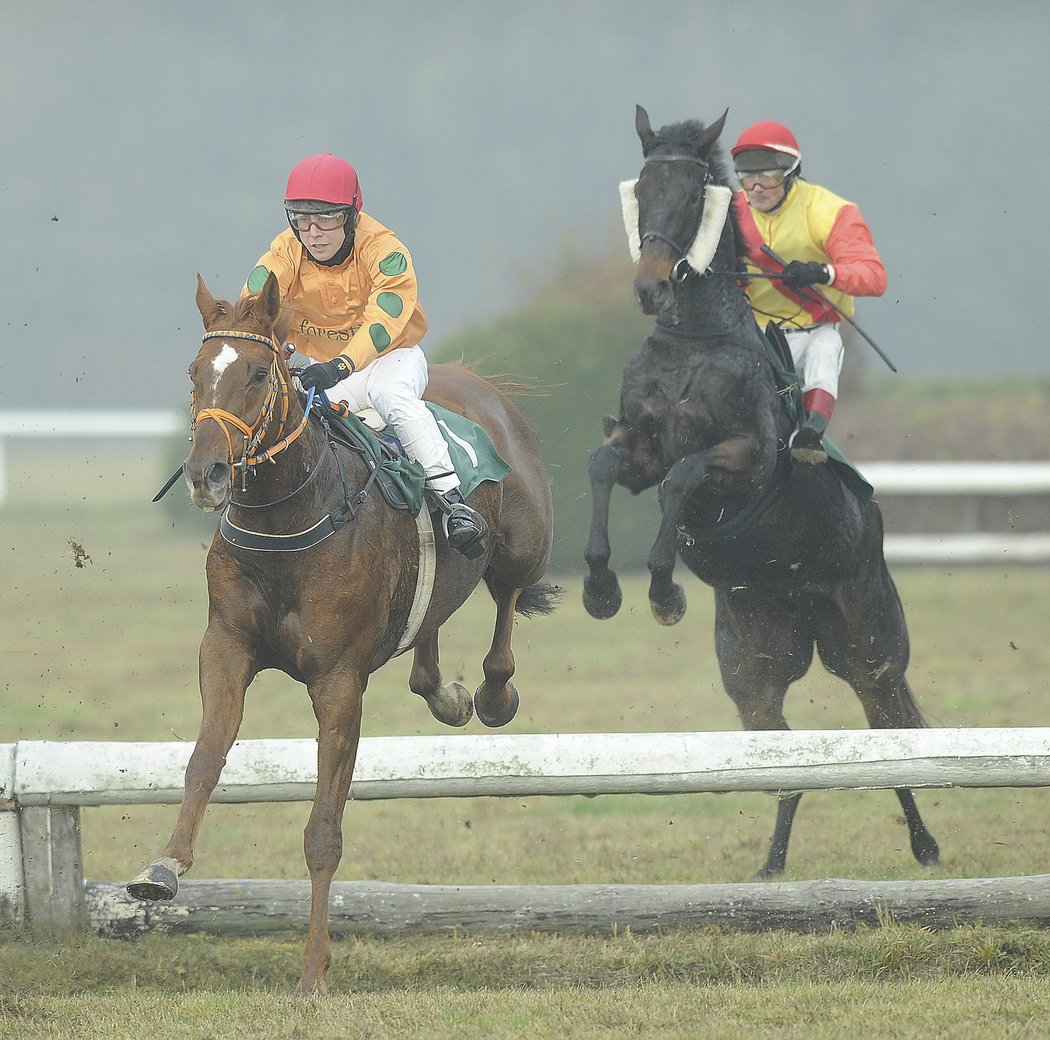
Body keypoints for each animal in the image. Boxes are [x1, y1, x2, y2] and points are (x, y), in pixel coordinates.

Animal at [127, 273, 558, 995]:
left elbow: (323, 833)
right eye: (195, 371)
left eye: (255, 374)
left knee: (506, 595)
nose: (206, 474)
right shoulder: (226, 647)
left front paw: (313, 972)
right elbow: (205, 759)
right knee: (430, 628)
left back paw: (494, 693)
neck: (287, 518)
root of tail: (478, 382)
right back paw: (444, 692)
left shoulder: (338, 679)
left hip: (523, 541)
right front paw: (162, 867)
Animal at [583, 109, 944, 878]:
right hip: (754, 663)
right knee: (784, 761)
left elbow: (685, 479)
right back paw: (772, 865)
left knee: (888, 731)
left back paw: (925, 845)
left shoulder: (743, 463)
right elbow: (604, 466)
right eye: (643, 190)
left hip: (868, 643)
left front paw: (663, 588)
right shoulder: (638, 450)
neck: (693, 339)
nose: (650, 291)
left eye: (695, 194)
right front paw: (601, 587)